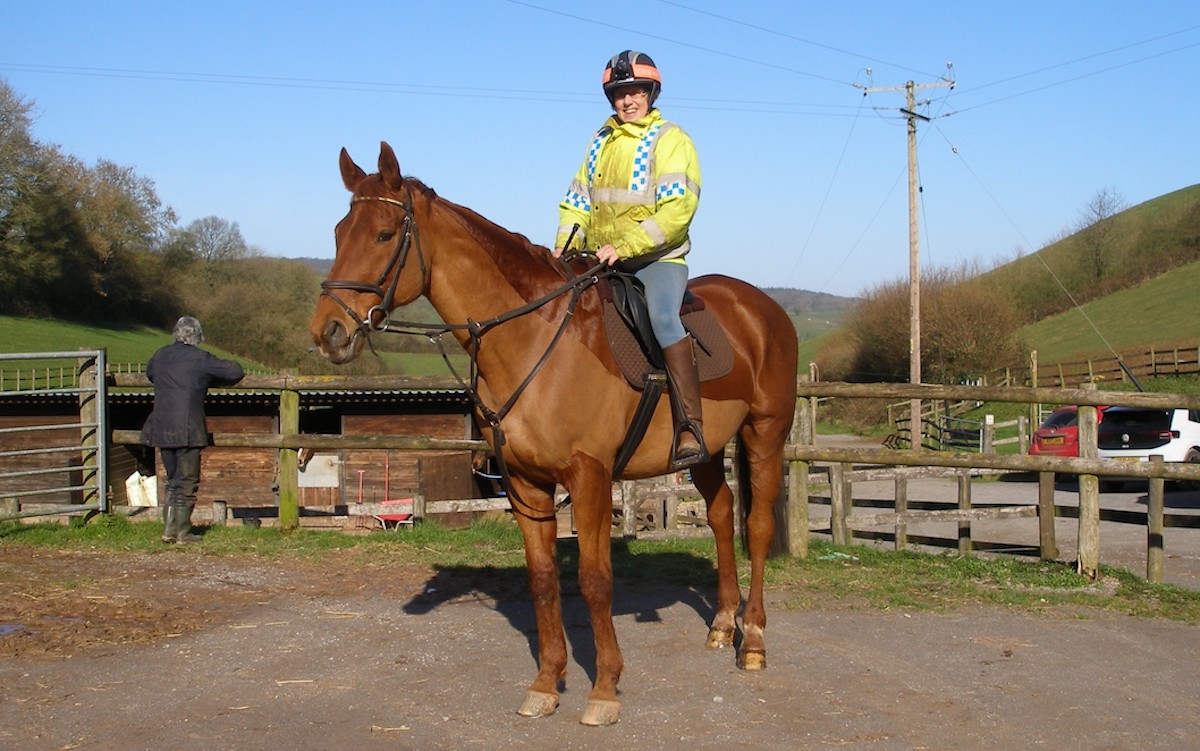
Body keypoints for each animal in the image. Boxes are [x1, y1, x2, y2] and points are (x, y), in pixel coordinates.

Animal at [309, 141, 796, 724]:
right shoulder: (526, 484)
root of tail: (761, 306)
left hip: (765, 434)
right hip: (701, 453)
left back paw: (754, 642)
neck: (533, 340)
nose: (328, 332)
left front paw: (604, 688)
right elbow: (543, 580)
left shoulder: (589, 478)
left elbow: (594, 579)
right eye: (339, 232)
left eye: (384, 235)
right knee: (722, 514)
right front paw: (546, 683)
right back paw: (723, 625)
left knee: (758, 528)